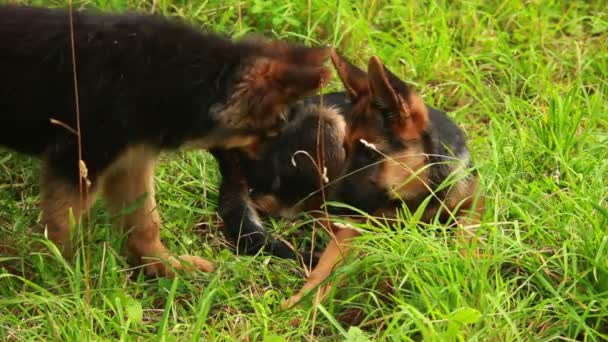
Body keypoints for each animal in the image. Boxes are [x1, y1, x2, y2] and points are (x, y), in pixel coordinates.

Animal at [0, 4, 330, 278]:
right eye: (269, 137)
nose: (258, 194)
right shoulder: (79, 161)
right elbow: (61, 225)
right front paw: (52, 275)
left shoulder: (131, 161)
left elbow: (145, 221)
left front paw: (163, 263)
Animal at [211, 51, 482, 308]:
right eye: (348, 150)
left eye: (370, 154)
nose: (335, 207)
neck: (421, 191)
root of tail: (229, 157)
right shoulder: (357, 221)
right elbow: (326, 269)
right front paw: (301, 304)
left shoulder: (474, 205)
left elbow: (468, 237)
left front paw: (466, 269)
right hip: (327, 126)